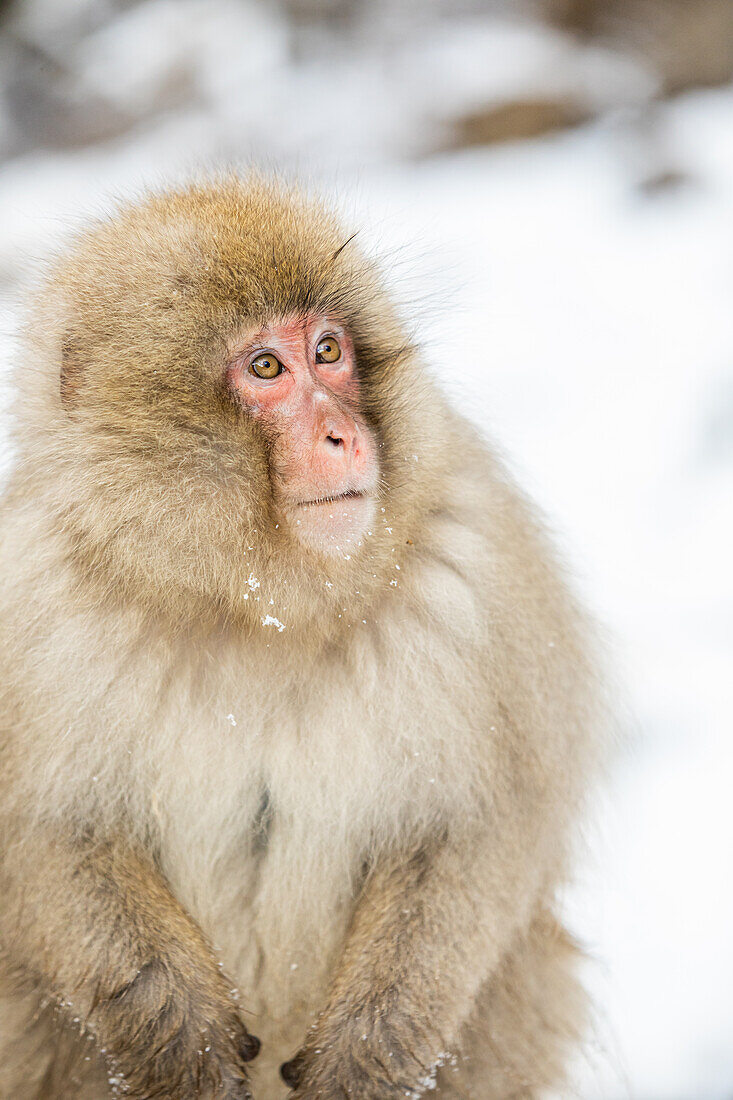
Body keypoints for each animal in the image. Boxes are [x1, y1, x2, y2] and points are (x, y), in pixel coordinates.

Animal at [0, 180, 598, 1100]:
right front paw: (183, 1049)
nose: (342, 435)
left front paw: (367, 1057)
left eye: (328, 350)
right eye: (265, 369)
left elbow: (479, 830)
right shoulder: (34, 604)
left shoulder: (473, 575)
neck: (257, 608)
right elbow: (43, 836)